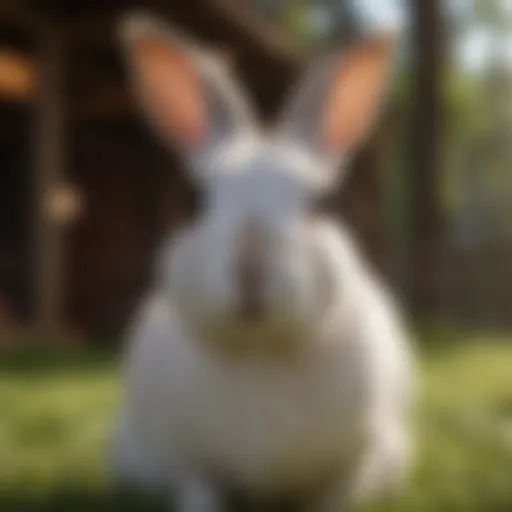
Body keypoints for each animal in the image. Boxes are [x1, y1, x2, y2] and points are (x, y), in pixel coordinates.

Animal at [112, 12, 416, 512]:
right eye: (193, 201)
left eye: (323, 203)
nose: (251, 271)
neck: (261, 349)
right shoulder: (188, 463)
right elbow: (200, 493)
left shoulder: (365, 456)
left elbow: (335, 496)